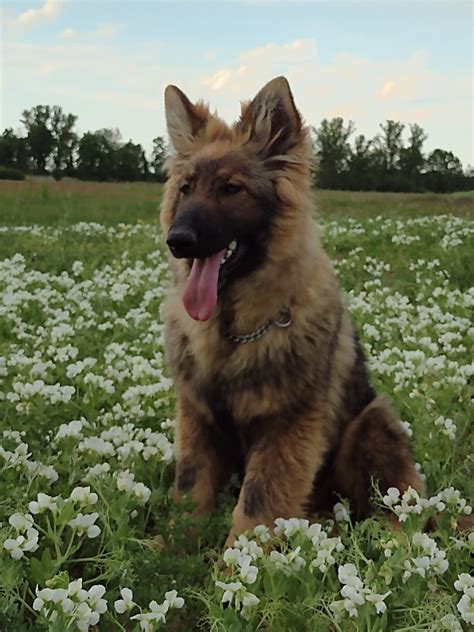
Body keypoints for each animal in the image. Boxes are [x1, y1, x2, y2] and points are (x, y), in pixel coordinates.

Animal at [160, 76, 422, 544]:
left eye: (231, 188)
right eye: (185, 188)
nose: (178, 240)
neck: (232, 329)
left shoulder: (286, 426)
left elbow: (257, 506)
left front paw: (237, 560)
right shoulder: (197, 416)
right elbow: (189, 489)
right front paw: (167, 547)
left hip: (371, 424)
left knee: (400, 510)